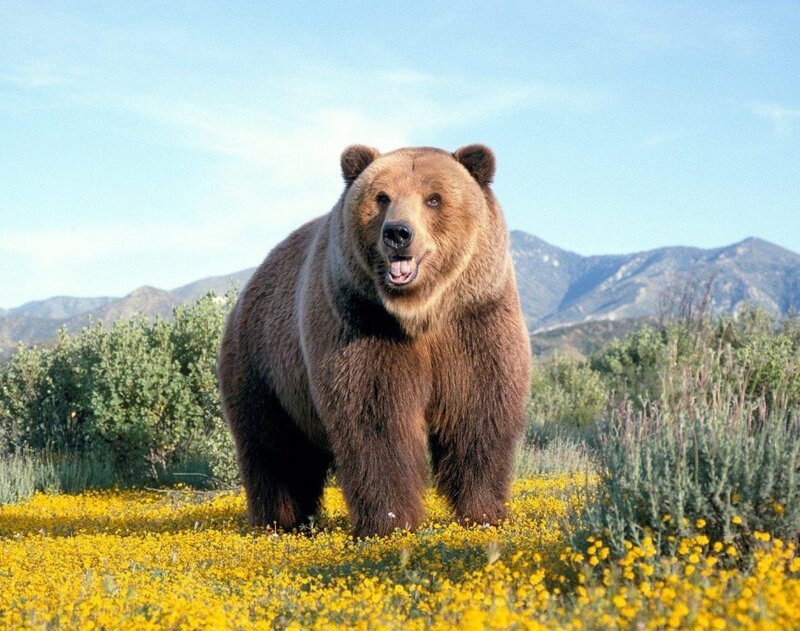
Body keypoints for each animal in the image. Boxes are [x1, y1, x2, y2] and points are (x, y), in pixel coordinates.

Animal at [217, 144, 531, 537]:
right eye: (382, 197)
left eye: (434, 198)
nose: (398, 233)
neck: (419, 313)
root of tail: (249, 287)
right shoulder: (362, 324)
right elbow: (376, 420)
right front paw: (391, 521)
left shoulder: (474, 321)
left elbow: (478, 411)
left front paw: (484, 513)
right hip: (264, 366)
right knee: (274, 449)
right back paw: (279, 521)